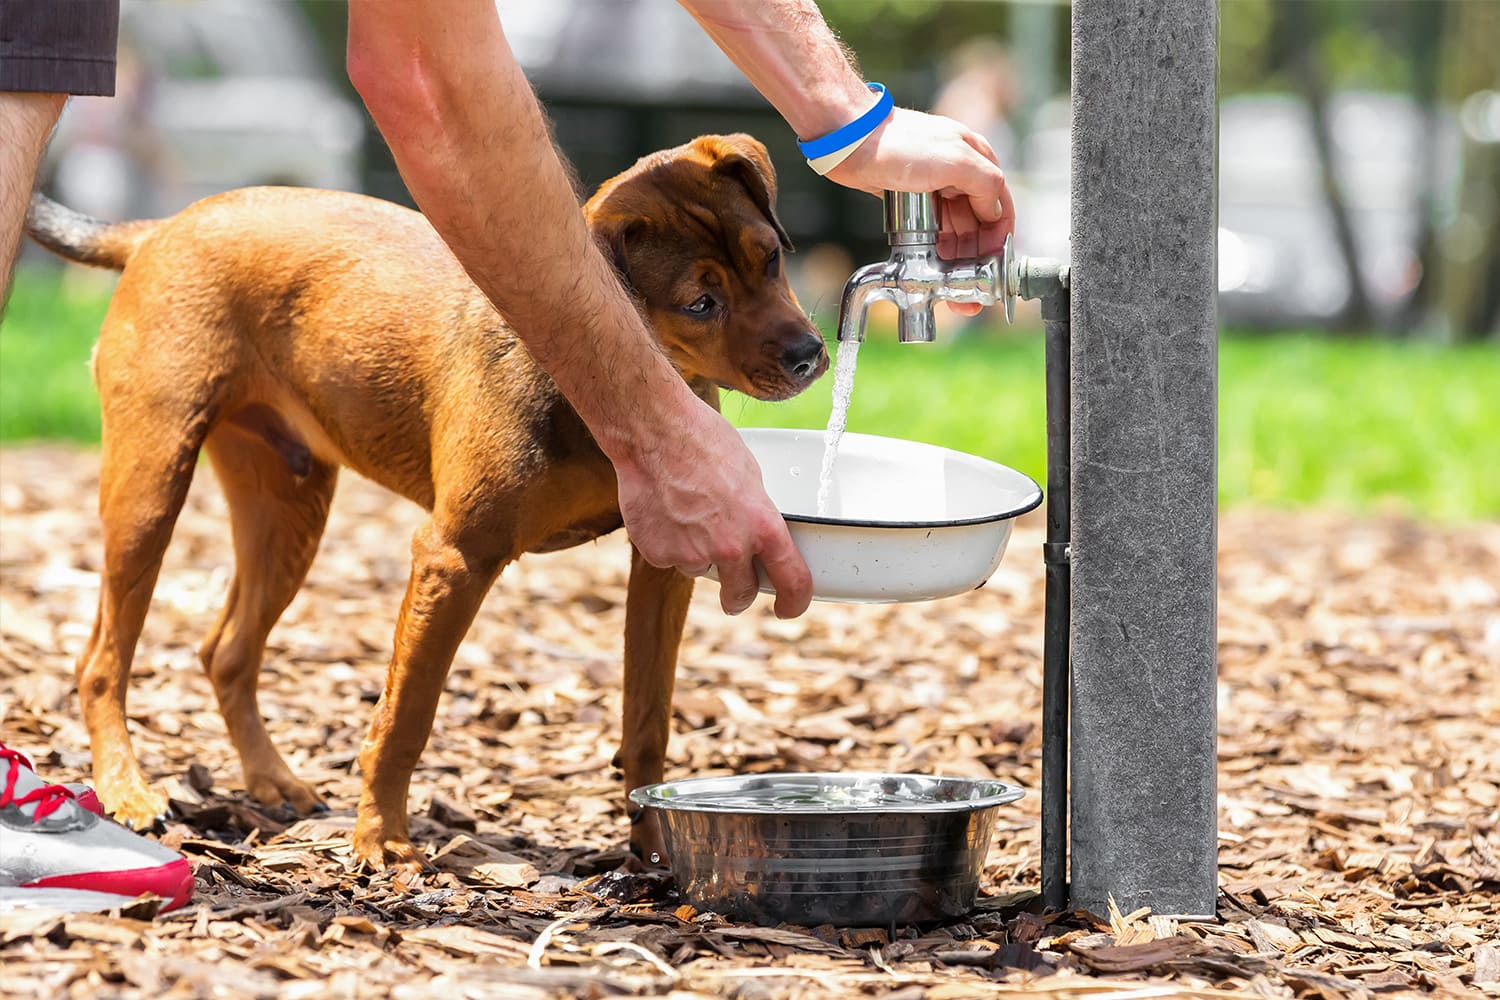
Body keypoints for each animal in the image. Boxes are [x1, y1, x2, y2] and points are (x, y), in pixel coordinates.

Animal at [23, 132, 828, 869]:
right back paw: (127, 789)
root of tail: (160, 228)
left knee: (226, 653)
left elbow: (648, 720)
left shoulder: (663, 565)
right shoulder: (454, 559)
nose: (809, 357)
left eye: (771, 257)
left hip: (287, 507)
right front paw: (381, 838)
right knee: (100, 659)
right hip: (151, 484)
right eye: (700, 303)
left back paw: (273, 781)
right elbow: (407, 713)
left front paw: (657, 848)